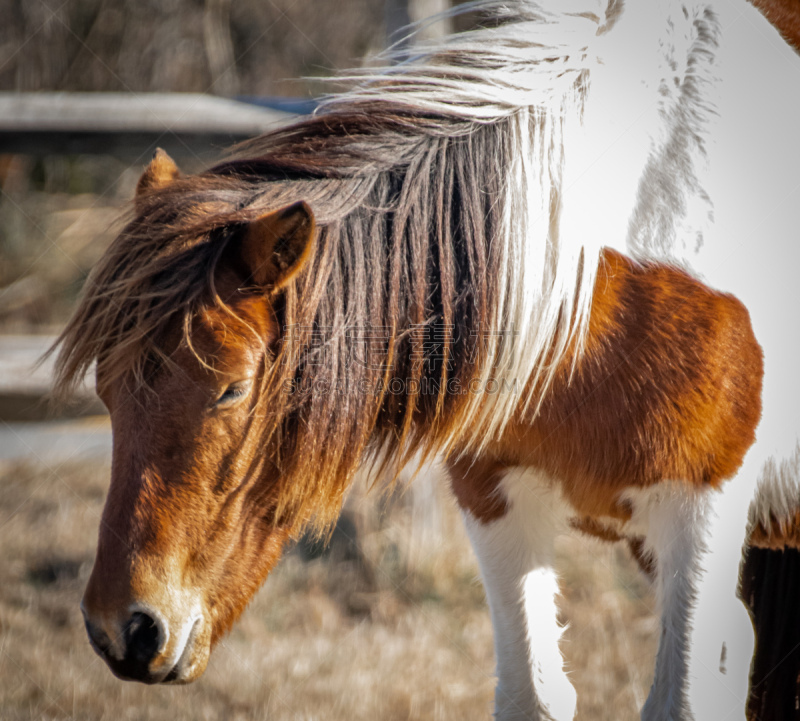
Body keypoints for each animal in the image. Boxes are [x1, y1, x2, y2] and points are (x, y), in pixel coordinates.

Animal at [50, 1, 800, 720]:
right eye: (106, 391)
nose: (124, 629)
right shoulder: (496, 500)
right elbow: (530, 698)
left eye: (232, 389)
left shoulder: (697, 513)